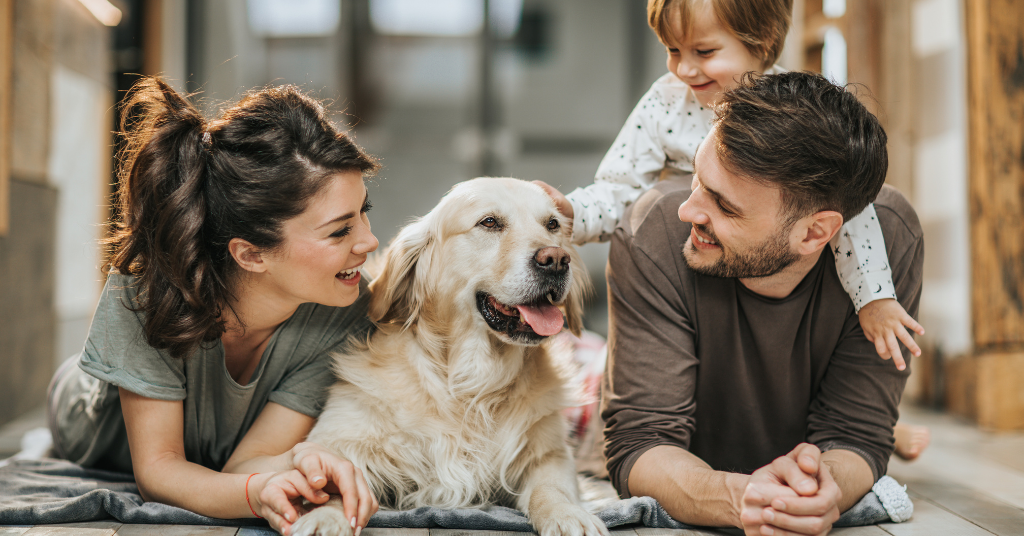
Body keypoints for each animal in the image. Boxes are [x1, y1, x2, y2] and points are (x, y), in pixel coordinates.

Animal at [288, 177, 606, 536]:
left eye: (552, 224)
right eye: (489, 222)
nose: (557, 259)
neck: (471, 382)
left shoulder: (550, 453)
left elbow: (551, 488)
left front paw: (567, 514)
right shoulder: (338, 437)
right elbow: (335, 480)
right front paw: (325, 518)